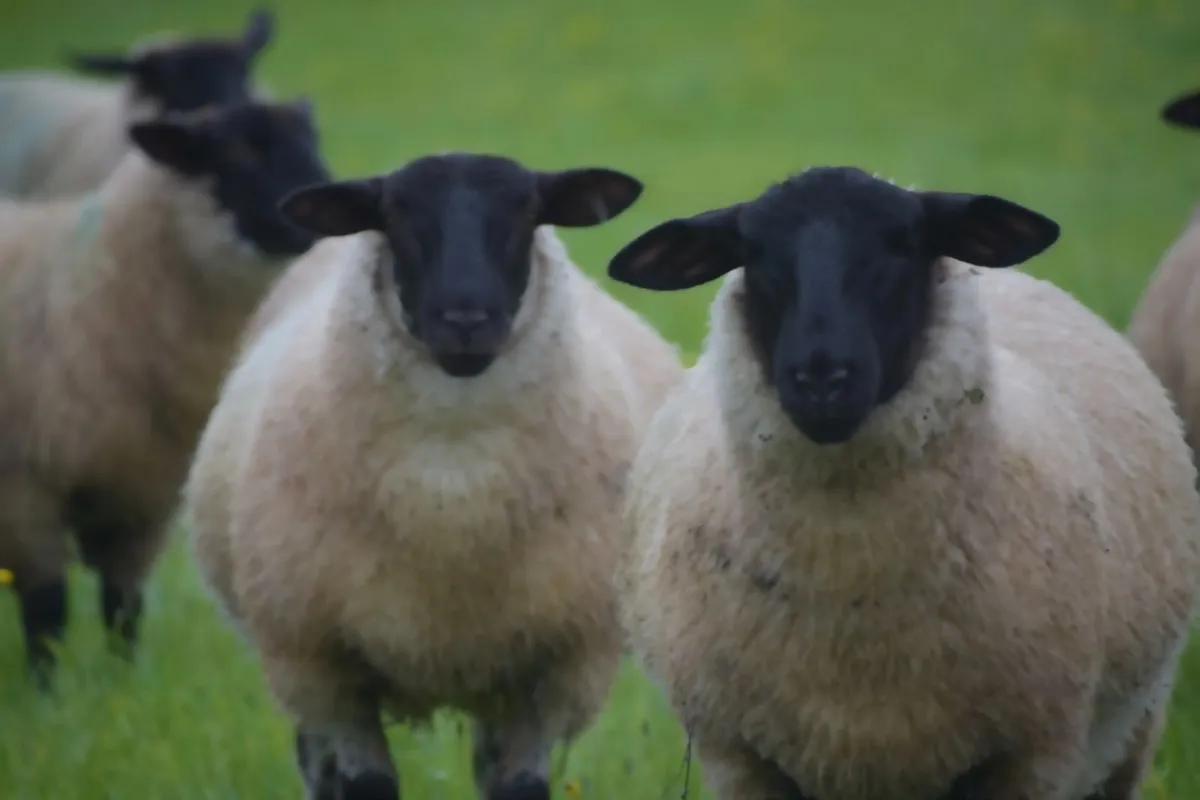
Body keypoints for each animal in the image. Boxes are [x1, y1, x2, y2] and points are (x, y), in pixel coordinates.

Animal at [0, 96, 331, 689]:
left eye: (310, 139)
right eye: (239, 151)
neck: (88, 293)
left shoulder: (143, 495)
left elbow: (123, 606)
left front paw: (126, 685)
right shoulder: (23, 487)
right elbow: (47, 610)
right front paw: (48, 694)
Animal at [183, 152, 685, 800]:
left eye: (527, 211)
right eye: (394, 214)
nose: (465, 320)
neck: (452, 488)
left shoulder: (559, 664)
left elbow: (520, 788)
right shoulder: (323, 665)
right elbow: (366, 786)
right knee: (317, 767)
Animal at [605, 165, 1200, 800]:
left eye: (904, 244)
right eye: (753, 252)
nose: (822, 376)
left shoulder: (1028, 754)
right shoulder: (742, 757)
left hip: (1129, 734)